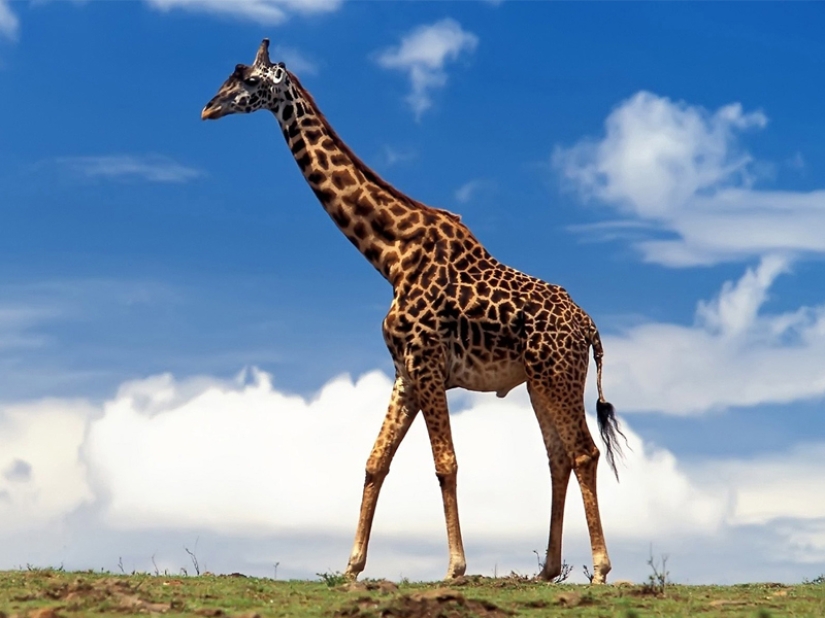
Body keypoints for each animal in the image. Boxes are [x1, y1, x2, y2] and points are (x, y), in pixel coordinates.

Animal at [201, 39, 625, 584]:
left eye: (249, 79)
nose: (208, 108)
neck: (389, 255)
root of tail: (590, 327)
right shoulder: (405, 370)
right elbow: (374, 461)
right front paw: (352, 567)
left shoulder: (426, 362)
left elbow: (445, 462)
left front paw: (455, 567)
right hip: (539, 381)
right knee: (558, 458)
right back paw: (548, 570)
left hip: (557, 375)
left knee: (584, 452)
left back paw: (599, 570)